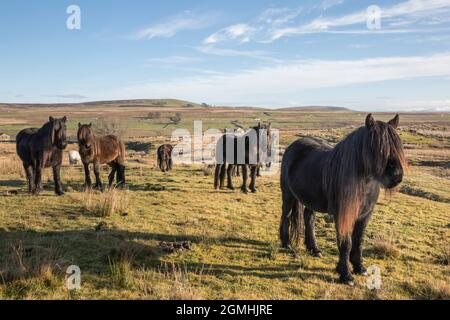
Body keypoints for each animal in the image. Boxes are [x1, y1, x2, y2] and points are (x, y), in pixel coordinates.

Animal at [280, 114, 406, 284]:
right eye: (377, 147)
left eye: (397, 146)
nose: (396, 176)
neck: (363, 182)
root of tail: (293, 146)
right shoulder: (342, 214)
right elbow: (346, 242)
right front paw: (345, 274)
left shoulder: (365, 215)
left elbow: (358, 240)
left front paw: (359, 267)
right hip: (287, 195)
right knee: (286, 215)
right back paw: (286, 244)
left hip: (310, 199)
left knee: (309, 218)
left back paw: (314, 249)